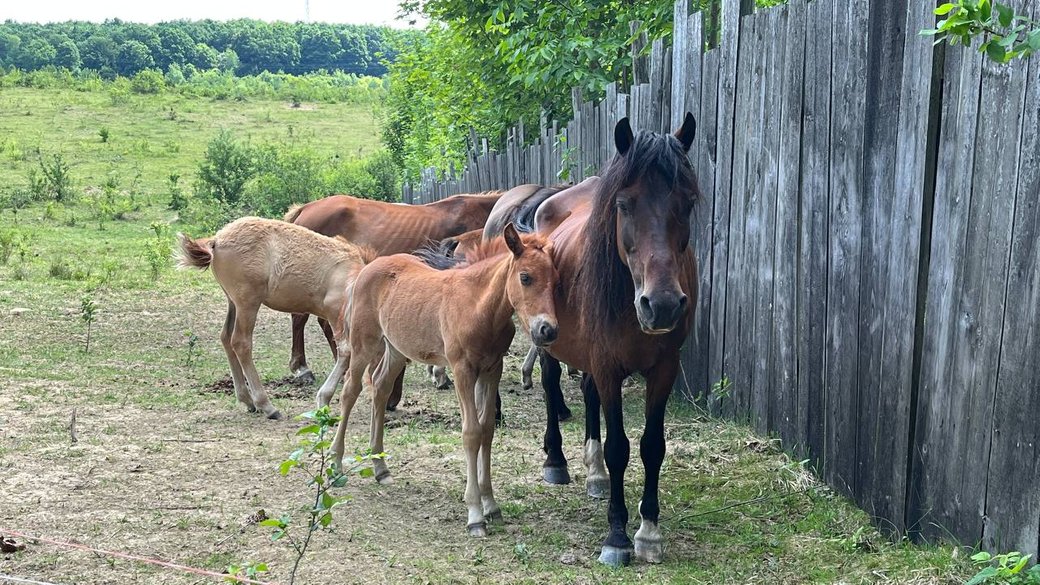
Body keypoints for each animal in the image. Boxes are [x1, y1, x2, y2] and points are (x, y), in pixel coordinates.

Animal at [177, 217, 374, 418]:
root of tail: (216, 240)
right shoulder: (336, 312)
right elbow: (346, 351)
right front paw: (323, 399)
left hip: (233, 303)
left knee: (225, 337)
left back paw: (247, 399)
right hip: (247, 303)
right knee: (240, 342)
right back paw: (266, 405)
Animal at [332, 225, 561, 537]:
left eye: (557, 279)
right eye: (525, 277)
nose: (548, 330)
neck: (478, 307)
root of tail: (369, 266)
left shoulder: (492, 369)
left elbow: (487, 429)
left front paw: (491, 504)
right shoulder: (463, 370)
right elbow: (471, 433)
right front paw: (475, 514)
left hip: (396, 348)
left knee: (380, 387)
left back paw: (381, 468)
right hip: (364, 343)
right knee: (350, 391)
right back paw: (335, 463)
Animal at [536, 112, 698, 566]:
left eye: (688, 203)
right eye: (624, 205)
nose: (662, 305)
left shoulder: (664, 369)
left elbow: (652, 446)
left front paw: (649, 531)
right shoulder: (609, 368)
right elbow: (619, 448)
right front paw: (617, 536)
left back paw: (595, 475)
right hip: (548, 342)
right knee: (551, 383)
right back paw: (557, 461)